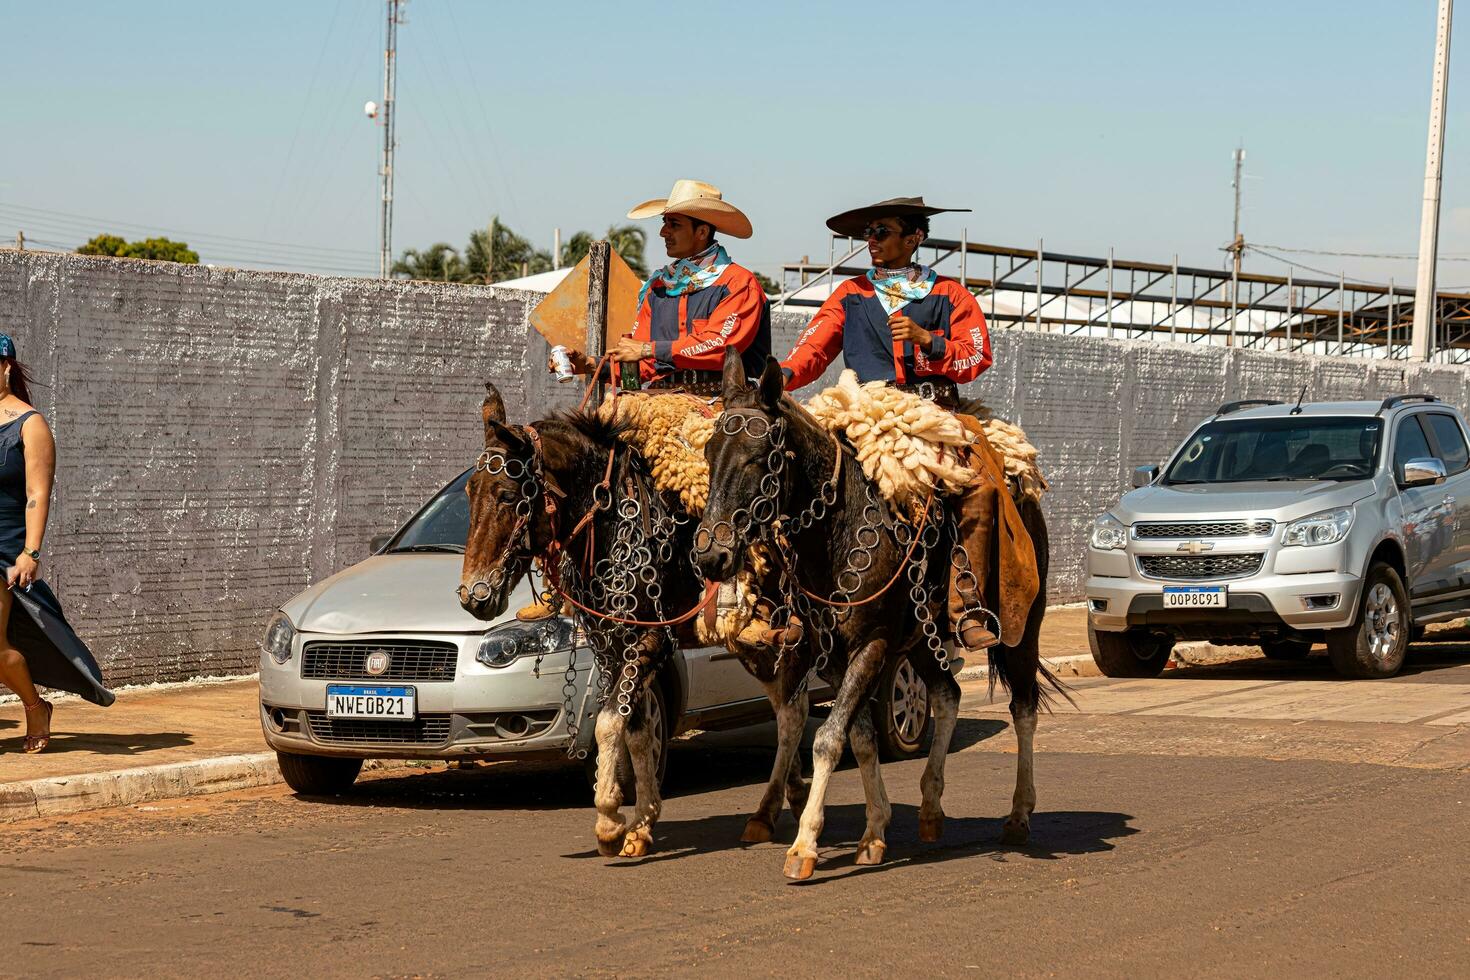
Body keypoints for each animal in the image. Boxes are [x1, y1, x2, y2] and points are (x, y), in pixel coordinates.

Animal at [458, 382, 811, 858]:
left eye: (509, 497)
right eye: (469, 492)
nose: (474, 596)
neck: (612, 520)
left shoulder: (650, 644)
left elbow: (610, 725)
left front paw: (609, 820)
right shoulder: (612, 648)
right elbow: (639, 732)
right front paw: (641, 825)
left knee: (804, 706)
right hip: (758, 641)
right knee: (787, 706)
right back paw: (781, 801)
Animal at [690, 351, 1058, 881]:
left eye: (759, 457)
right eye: (710, 451)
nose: (710, 557)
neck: (837, 528)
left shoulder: (873, 644)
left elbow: (827, 738)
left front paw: (804, 845)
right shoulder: (834, 656)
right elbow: (859, 736)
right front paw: (873, 833)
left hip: (1020, 630)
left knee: (1023, 708)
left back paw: (1019, 815)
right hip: (922, 640)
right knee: (947, 695)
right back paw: (931, 809)